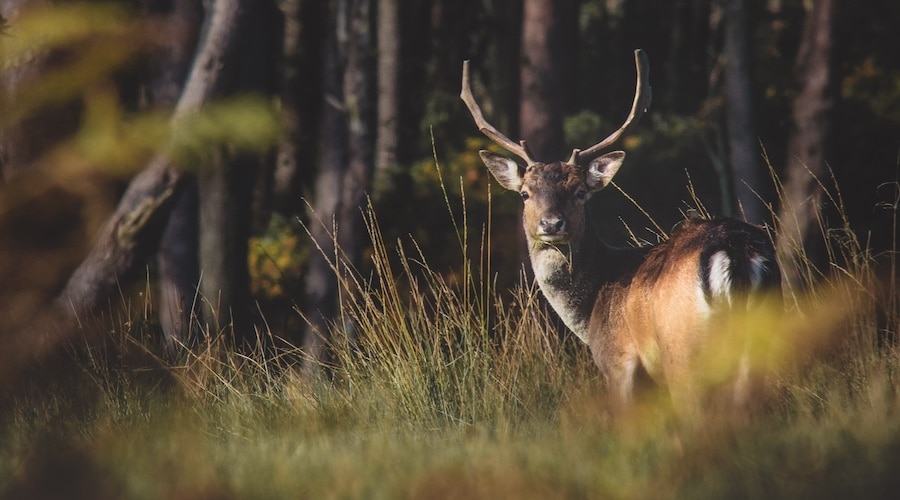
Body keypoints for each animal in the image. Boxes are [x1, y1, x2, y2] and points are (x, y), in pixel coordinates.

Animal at [460, 50, 784, 416]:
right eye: (525, 193)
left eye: (580, 192)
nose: (552, 224)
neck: (590, 311)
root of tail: (734, 248)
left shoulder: (618, 361)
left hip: (682, 351)